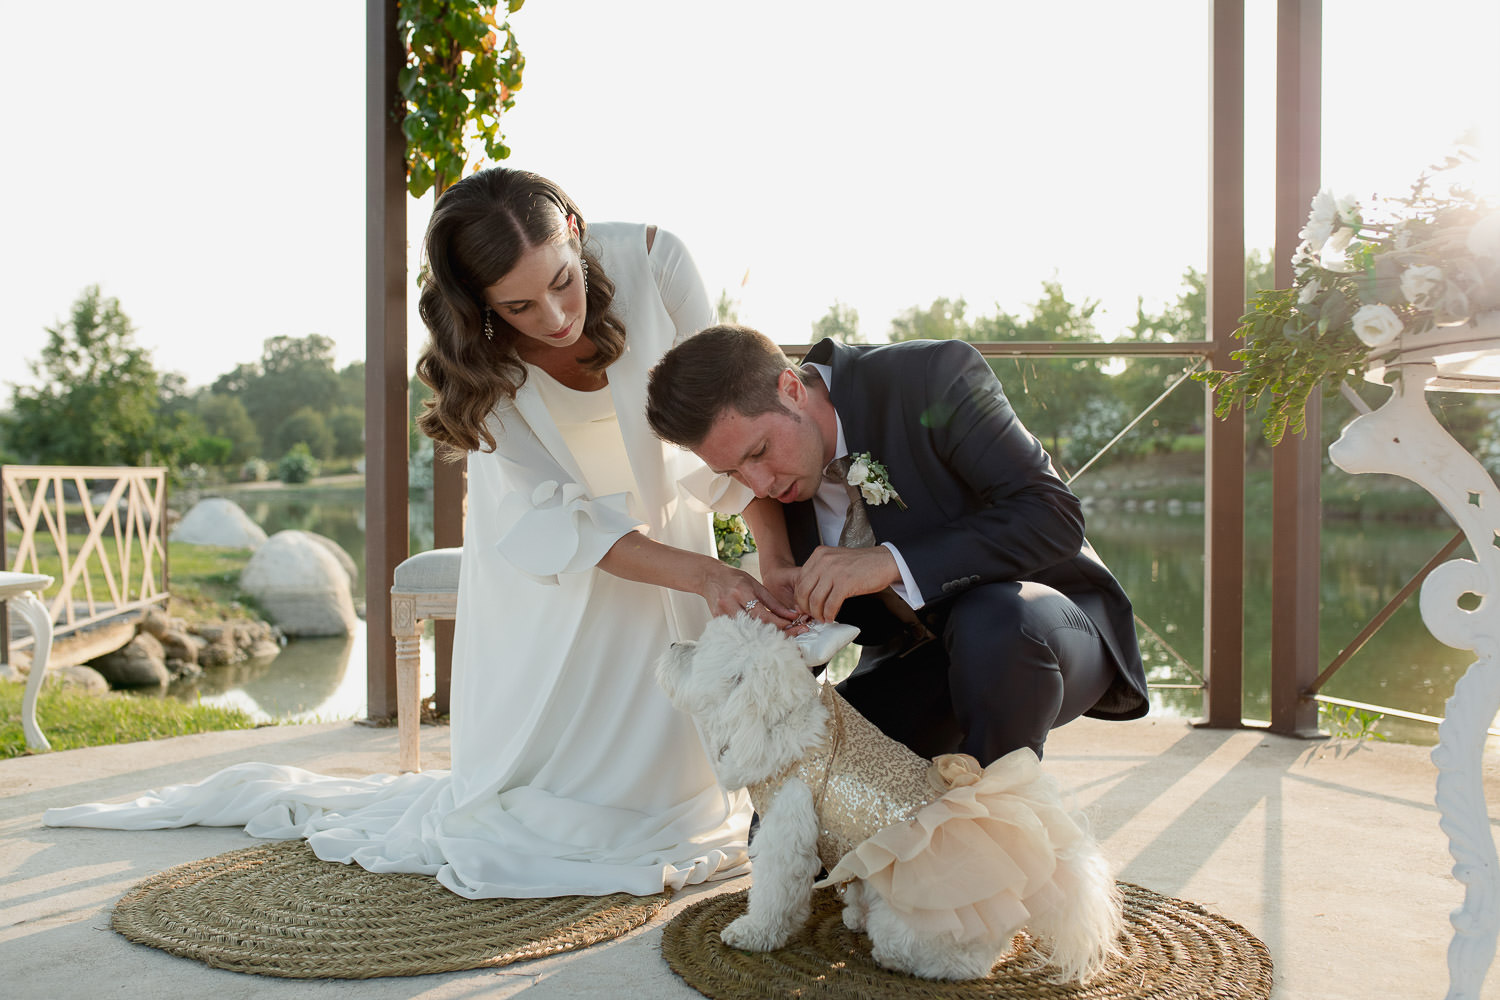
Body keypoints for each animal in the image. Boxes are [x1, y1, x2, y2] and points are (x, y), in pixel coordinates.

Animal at [657, 614, 1128, 983]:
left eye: (699, 652)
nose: (672, 644)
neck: (784, 726)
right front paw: (847, 910)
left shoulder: (784, 835)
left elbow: (774, 892)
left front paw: (753, 933)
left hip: (917, 919)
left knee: (960, 962)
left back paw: (904, 959)